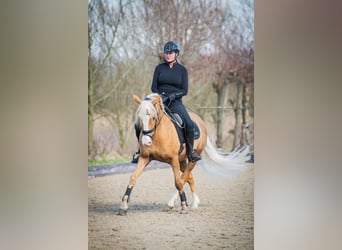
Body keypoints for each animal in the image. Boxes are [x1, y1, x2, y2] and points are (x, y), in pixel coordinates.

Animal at [119, 94, 250, 215]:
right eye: (139, 118)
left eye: (153, 117)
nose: (146, 141)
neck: (159, 134)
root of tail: (200, 122)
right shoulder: (145, 158)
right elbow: (133, 178)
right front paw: (124, 206)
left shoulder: (173, 160)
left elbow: (178, 182)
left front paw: (183, 206)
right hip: (182, 160)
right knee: (189, 177)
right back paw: (194, 203)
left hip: (192, 158)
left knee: (184, 178)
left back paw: (175, 203)